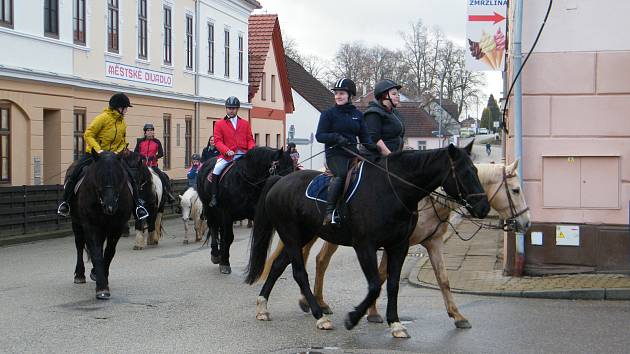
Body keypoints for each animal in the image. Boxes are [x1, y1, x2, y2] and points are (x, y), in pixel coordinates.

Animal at [69, 151, 133, 300]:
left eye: (119, 176)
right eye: (98, 176)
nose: (110, 206)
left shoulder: (117, 227)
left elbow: (109, 252)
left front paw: (102, 275)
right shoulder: (90, 226)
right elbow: (96, 252)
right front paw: (102, 287)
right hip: (77, 223)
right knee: (79, 244)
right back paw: (79, 274)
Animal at [198, 146, 296, 274]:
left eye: (293, 166)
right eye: (279, 166)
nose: (287, 190)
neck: (247, 181)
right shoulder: (227, 214)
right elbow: (228, 238)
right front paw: (225, 263)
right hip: (210, 209)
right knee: (213, 227)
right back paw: (216, 255)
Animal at [247, 142, 494, 338]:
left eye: (475, 170)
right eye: (464, 172)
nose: (483, 207)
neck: (392, 191)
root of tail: (280, 180)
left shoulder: (400, 246)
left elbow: (394, 283)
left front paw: (395, 323)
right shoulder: (365, 246)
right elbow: (375, 284)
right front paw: (354, 317)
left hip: (302, 236)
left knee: (279, 266)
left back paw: (263, 307)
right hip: (291, 235)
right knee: (299, 272)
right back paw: (319, 315)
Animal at [264, 162, 532, 328]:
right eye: (516, 190)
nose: (527, 222)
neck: (425, 199)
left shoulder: (432, 243)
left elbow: (443, 279)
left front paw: (457, 315)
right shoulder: (393, 245)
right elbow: (382, 276)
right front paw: (372, 313)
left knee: (314, 260)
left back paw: (315, 302)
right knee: (311, 260)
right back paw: (310, 302)